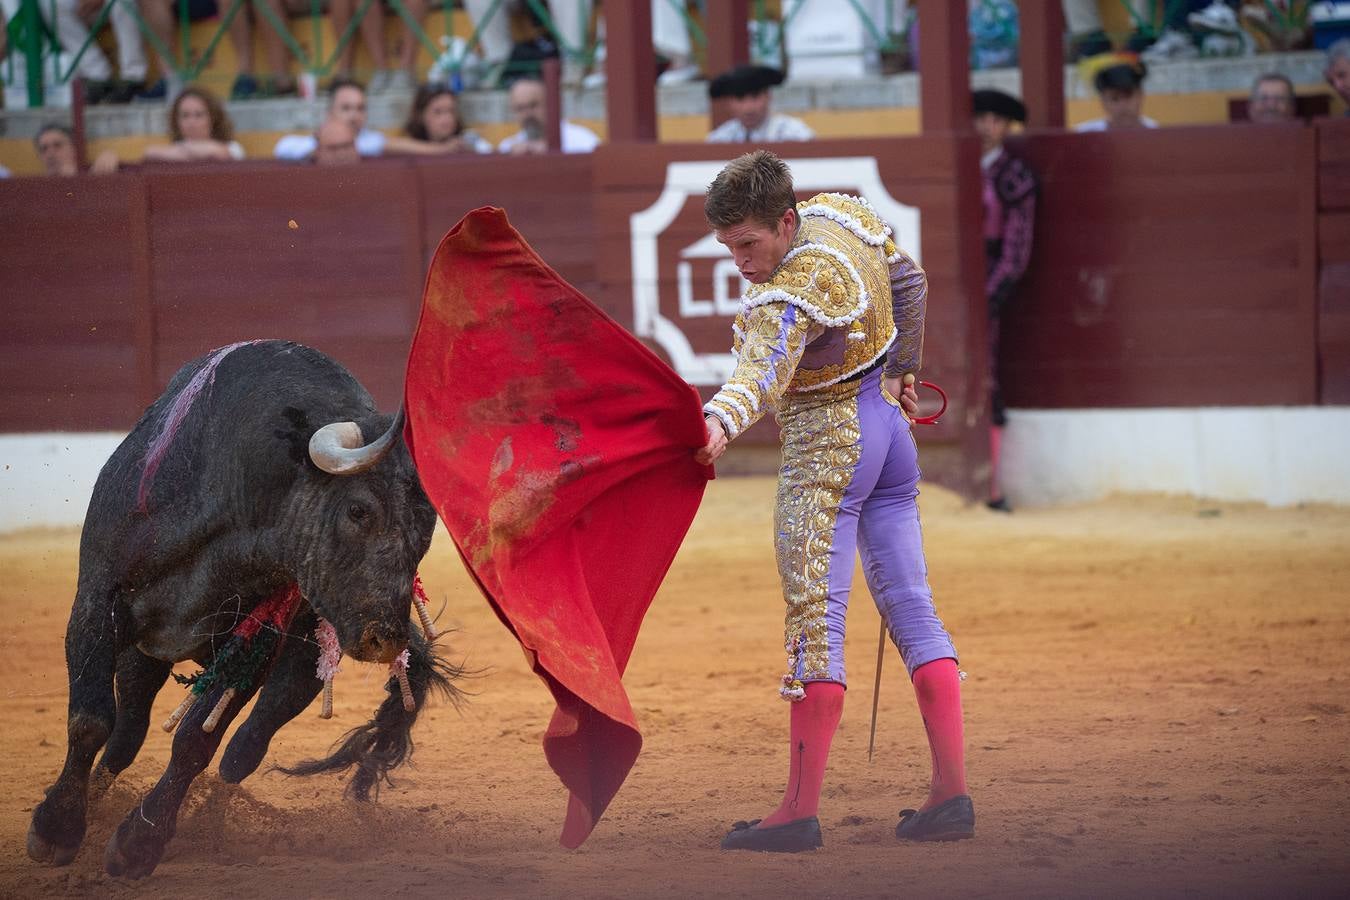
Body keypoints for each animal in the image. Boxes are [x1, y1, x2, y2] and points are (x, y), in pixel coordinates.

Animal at [22, 341, 459, 874]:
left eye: (427, 526)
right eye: (358, 510)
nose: (385, 638)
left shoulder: (258, 641)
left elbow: (196, 741)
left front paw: (139, 843)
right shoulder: (97, 601)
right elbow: (90, 720)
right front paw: (56, 829)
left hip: (302, 663)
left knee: (243, 749)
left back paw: (206, 823)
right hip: (143, 655)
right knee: (127, 734)